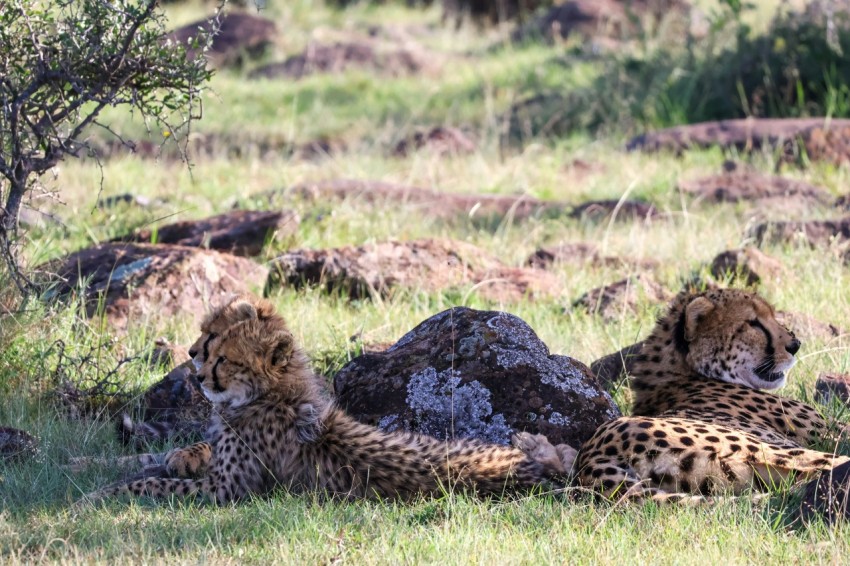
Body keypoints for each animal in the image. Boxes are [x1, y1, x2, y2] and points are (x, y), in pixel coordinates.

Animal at [78, 298, 576, 506]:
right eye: (208, 340)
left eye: (222, 354)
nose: (194, 366)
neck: (272, 393)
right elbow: (147, 461)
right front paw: (84, 468)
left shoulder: (227, 490)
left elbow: (151, 483)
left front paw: (99, 496)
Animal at [536, 290, 848, 504]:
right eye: (753, 324)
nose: (795, 345)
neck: (680, 373)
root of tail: (592, 459)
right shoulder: (827, 433)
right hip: (773, 450)